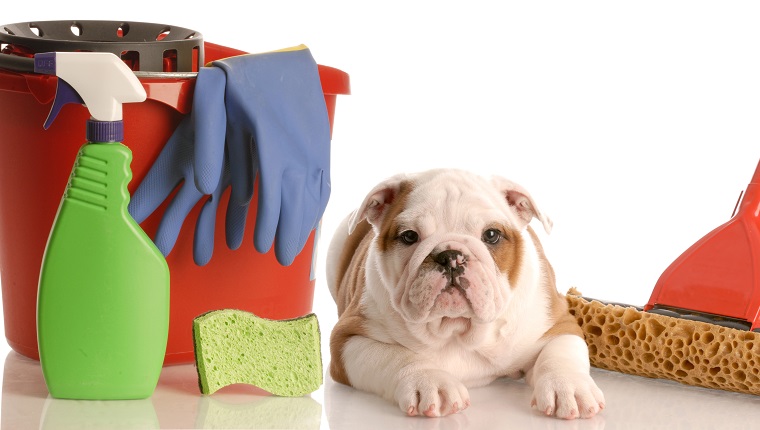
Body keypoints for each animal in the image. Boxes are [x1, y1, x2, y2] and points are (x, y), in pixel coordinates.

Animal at [326, 170, 604, 418]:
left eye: (491, 235)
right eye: (409, 236)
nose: (450, 256)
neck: (456, 329)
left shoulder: (560, 324)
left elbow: (560, 354)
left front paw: (569, 388)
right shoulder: (347, 340)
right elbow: (396, 356)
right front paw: (429, 382)